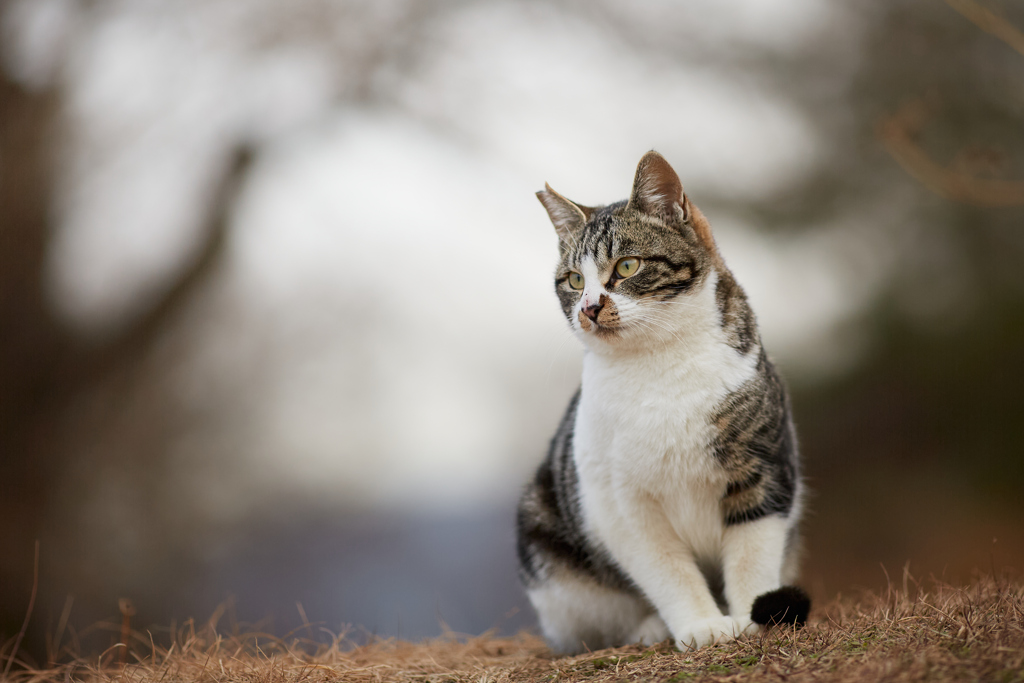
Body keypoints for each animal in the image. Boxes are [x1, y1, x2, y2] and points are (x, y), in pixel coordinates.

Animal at [516, 152, 811, 655]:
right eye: (574, 279)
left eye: (627, 266)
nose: (589, 308)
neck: (658, 367)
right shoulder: (619, 505)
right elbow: (667, 570)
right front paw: (702, 626)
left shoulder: (765, 468)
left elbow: (752, 554)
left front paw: (751, 617)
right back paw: (650, 627)